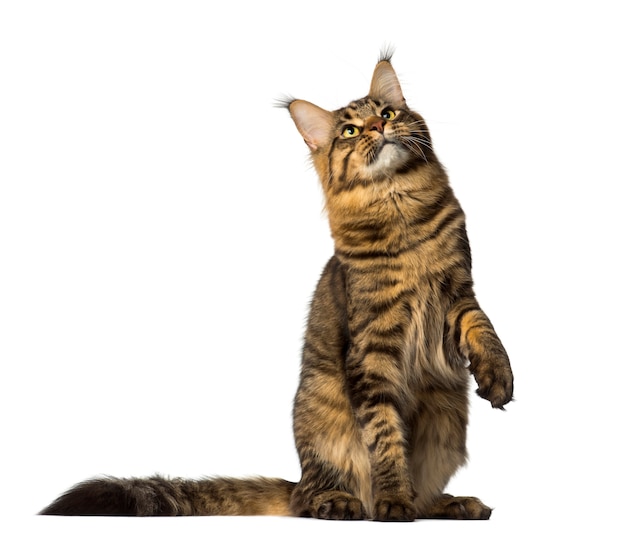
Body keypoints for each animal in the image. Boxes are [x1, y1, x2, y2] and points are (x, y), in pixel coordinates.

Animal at [41, 53, 516, 520]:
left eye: (387, 113)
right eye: (349, 131)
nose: (377, 127)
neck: (400, 209)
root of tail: (299, 481)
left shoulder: (458, 293)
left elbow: (484, 330)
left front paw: (497, 375)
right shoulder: (373, 342)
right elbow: (385, 435)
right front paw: (393, 501)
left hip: (446, 425)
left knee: (423, 492)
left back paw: (454, 504)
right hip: (325, 422)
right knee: (312, 497)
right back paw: (343, 503)